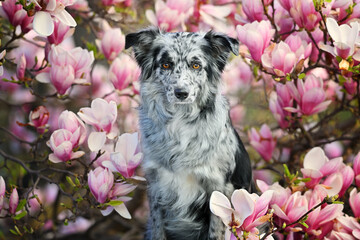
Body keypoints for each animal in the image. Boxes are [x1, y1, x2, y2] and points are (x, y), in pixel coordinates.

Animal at [125, 28, 252, 240]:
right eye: (166, 64)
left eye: (196, 65)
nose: (181, 93)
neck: (180, 122)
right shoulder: (157, 188)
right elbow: (158, 230)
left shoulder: (219, 190)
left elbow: (215, 232)